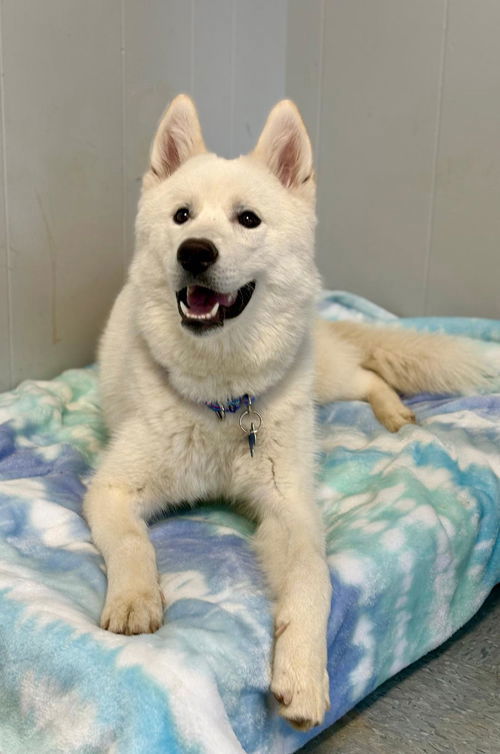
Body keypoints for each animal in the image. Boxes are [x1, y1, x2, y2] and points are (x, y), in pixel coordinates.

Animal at [85, 94, 488, 728]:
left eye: (247, 219)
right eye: (181, 216)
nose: (194, 252)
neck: (224, 402)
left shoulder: (291, 510)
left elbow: (313, 576)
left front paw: (302, 671)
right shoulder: (111, 489)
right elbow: (131, 542)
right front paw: (133, 599)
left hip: (322, 375)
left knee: (368, 374)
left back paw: (396, 415)